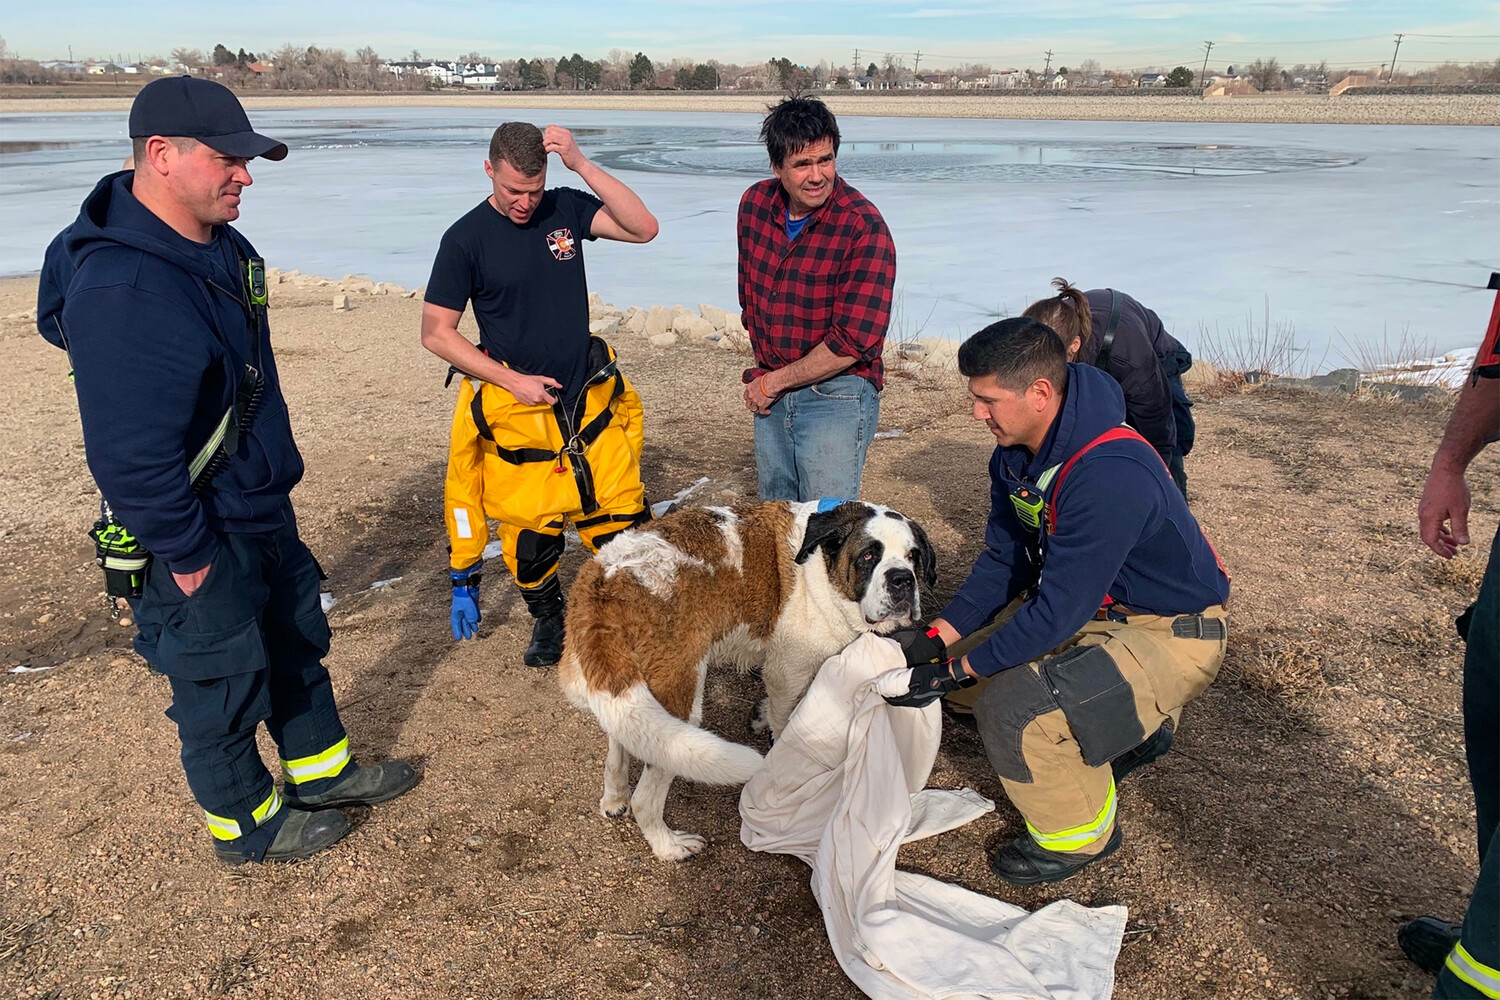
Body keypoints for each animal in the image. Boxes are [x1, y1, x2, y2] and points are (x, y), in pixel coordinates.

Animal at [564, 500, 936, 863]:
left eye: (912, 556)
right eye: (869, 556)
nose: (902, 580)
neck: (819, 570)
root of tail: (601, 580)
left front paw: (762, 715)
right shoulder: (788, 673)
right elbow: (787, 723)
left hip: (628, 688)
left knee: (619, 739)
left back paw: (615, 797)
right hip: (678, 703)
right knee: (646, 796)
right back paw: (668, 847)